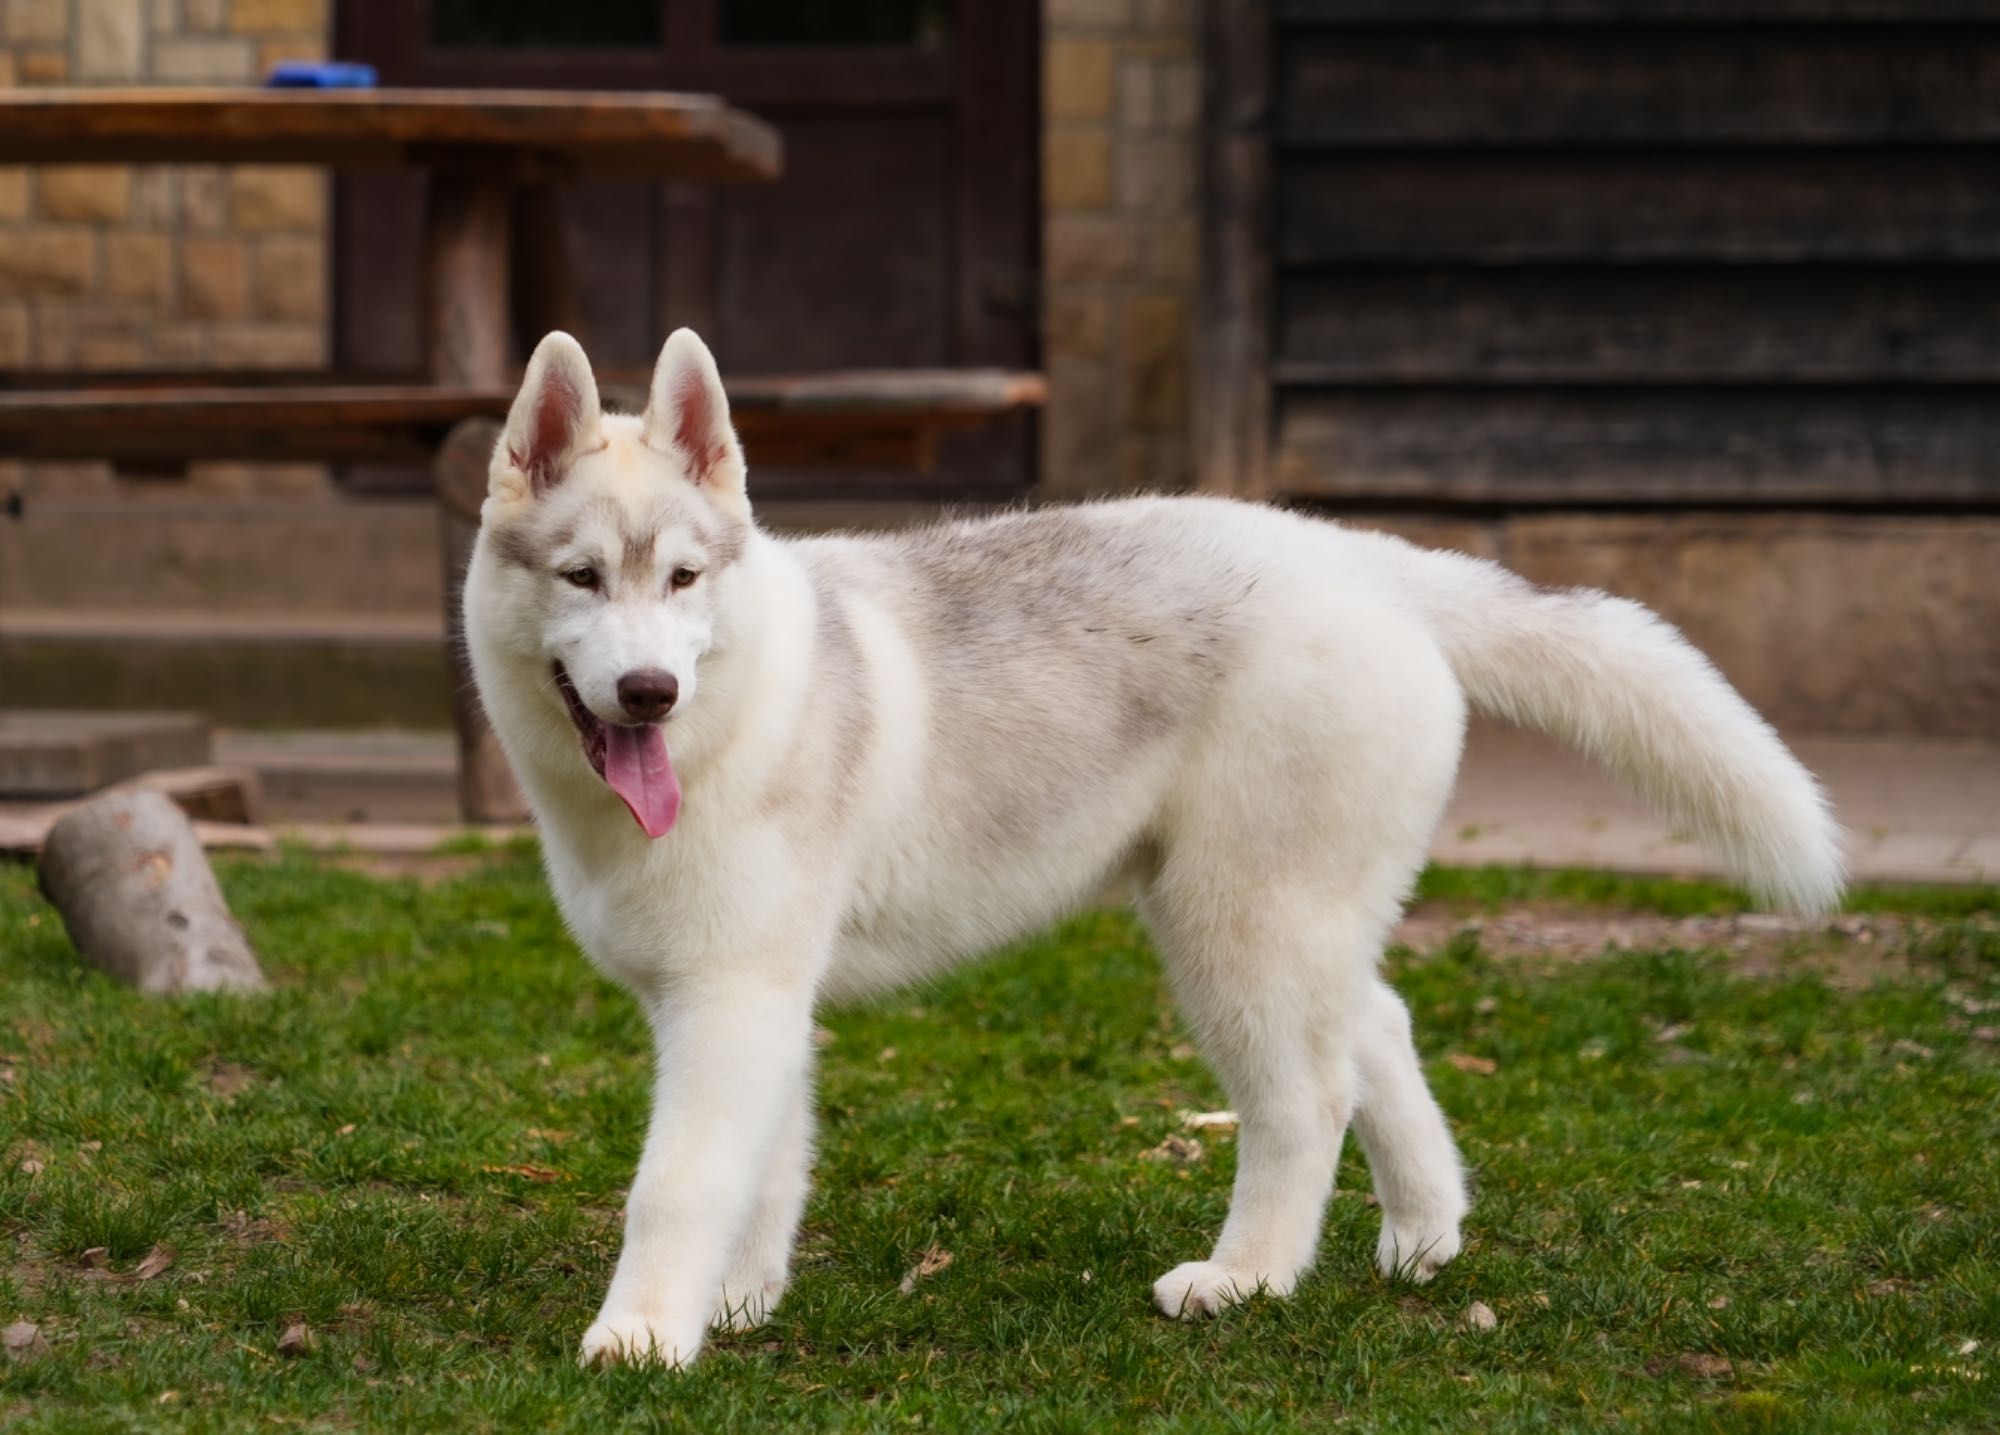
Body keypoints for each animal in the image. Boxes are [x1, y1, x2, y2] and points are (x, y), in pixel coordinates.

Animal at [464, 329, 1840, 1375]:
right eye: (581, 577)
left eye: (683, 579)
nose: (647, 692)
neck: (730, 715)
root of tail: (1361, 560)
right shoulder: (753, 1001)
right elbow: (765, 1165)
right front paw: (739, 1302)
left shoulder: (731, 1001)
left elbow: (680, 1180)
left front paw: (647, 1334)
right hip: (1283, 916)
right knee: (1378, 1024)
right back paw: (1421, 1235)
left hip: (1236, 928)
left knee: (1306, 1100)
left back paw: (1246, 1279)